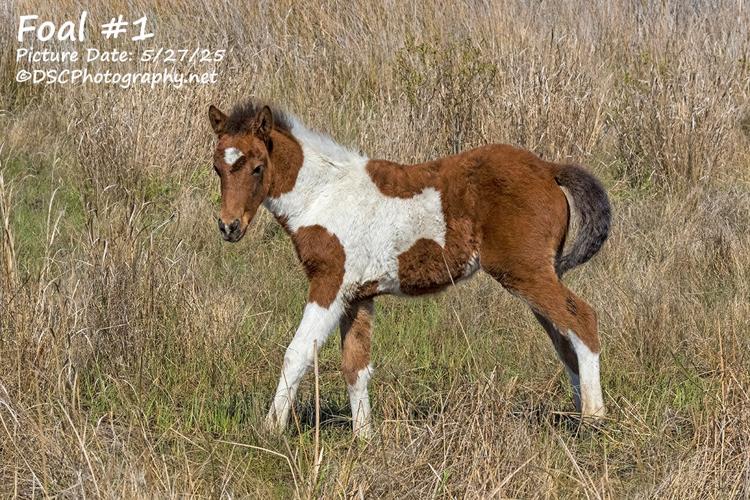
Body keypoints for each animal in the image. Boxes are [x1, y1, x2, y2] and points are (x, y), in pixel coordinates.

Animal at [208, 100, 611, 438]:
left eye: (257, 167)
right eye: (217, 168)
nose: (229, 227)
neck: (323, 195)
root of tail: (548, 169)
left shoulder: (330, 284)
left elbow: (298, 353)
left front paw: (269, 431)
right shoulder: (358, 295)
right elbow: (355, 366)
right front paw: (364, 439)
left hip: (525, 273)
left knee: (582, 319)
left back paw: (593, 418)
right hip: (536, 275)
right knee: (563, 337)